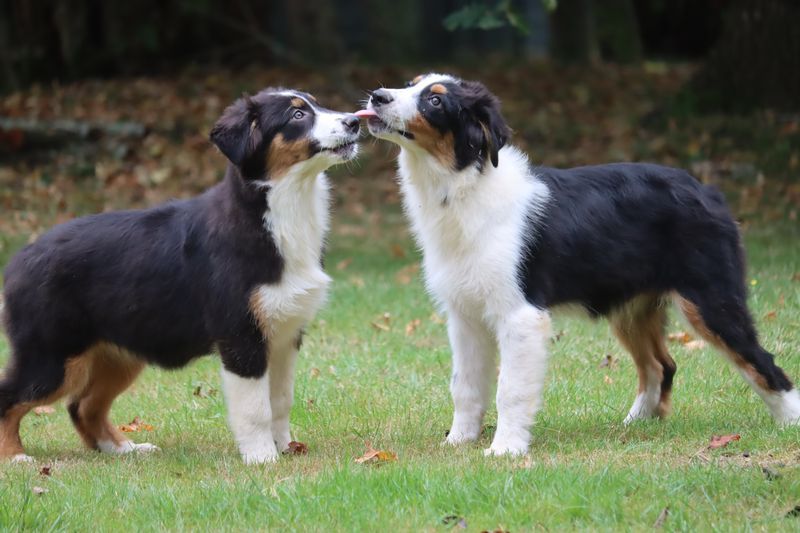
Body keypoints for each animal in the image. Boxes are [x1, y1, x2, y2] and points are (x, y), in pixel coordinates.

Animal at [0, 87, 360, 462]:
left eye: (316, 103)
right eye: (297, 115)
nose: (354, 121)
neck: (280, 210)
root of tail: (18, 261)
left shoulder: (285, 334)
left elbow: (280, 400)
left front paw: (287, 447)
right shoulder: (241, 336)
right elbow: (255, 408)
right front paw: (261, 458)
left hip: (117, 353)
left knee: (83, 405)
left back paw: (124, 449)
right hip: (51, 354)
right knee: (9, 396)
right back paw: (15, 457)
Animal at [360, 74, 800, 458]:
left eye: (435, 101)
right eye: (410, 84)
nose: (378, 96)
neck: (462, 188)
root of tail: (709, 191)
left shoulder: (521, 314)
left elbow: (510, 389)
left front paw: (506, 449)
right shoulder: (465, 315)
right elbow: (465, 385)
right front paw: (458, 441)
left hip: (710, 298)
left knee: (763, 363)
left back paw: (788, 424)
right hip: (631, 307)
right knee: (661, 365)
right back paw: (636, 423)